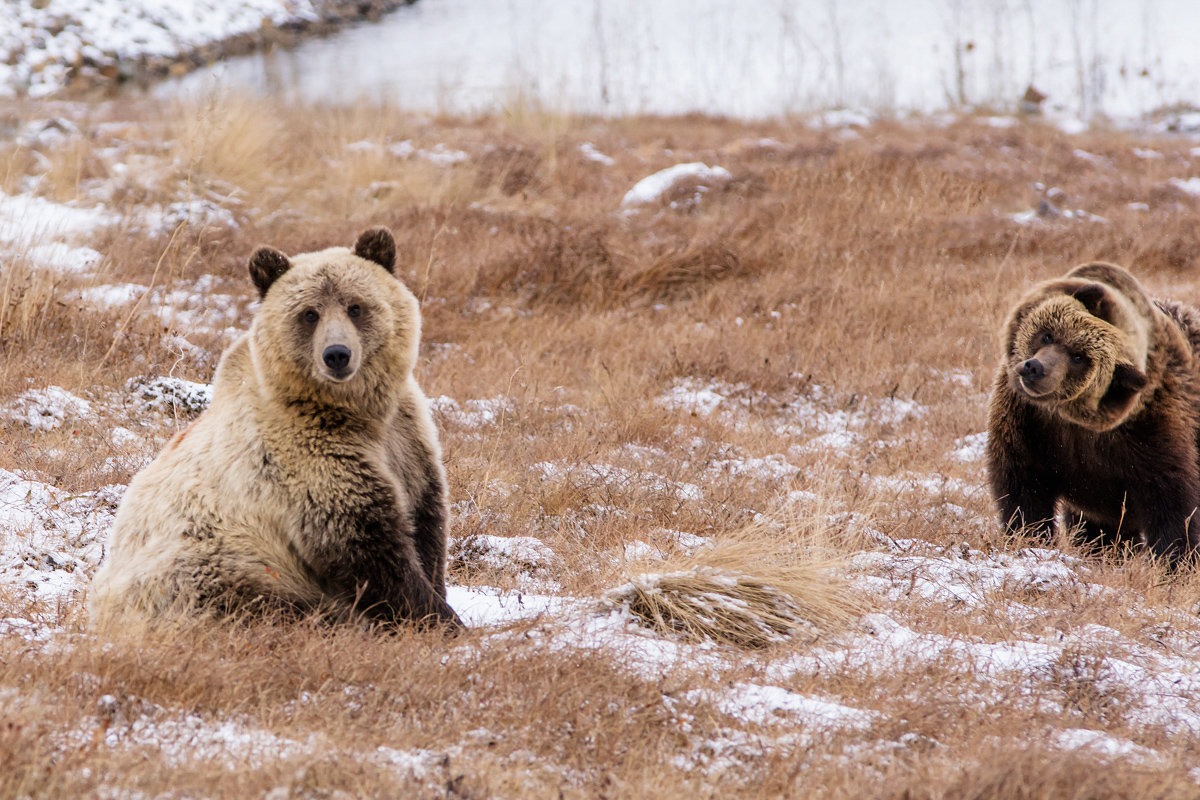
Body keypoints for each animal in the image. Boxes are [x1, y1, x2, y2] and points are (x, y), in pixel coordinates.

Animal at [87, 227, 463, 628]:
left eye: (355, 307)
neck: (356, 412)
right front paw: (440, 619)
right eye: (309, 314)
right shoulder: (306, 459)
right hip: (211, 564)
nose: (337, 354)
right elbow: (368, 546)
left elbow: (426, 522)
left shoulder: (407, 440)